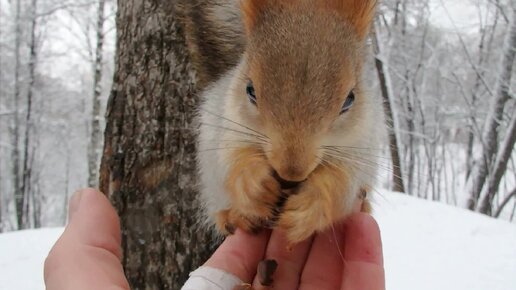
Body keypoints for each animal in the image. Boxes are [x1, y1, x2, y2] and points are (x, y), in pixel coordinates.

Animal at [197, 0, 382, 245]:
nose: (291, 172)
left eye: (349, 100)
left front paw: (310, 206)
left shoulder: (362, 144)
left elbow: (342, 184)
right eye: (250, 90)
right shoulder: (228, 125)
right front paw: (256, 186)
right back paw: (232, 217)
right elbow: (232, 160)